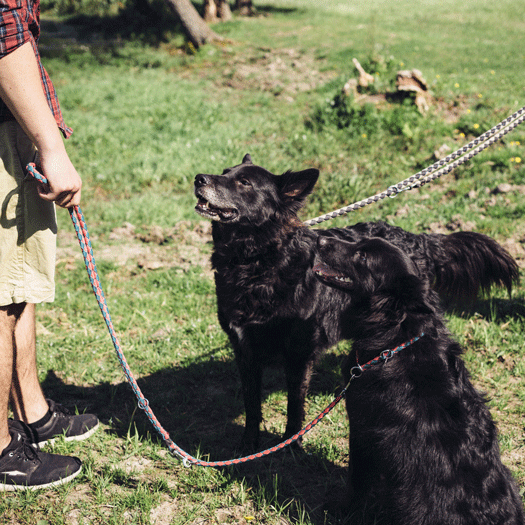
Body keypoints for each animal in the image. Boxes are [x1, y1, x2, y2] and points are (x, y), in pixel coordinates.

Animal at [193, 154, 520, 448]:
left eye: (244, 182)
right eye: (225, 171)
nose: (199, 179)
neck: (256, 261)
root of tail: (419, 239)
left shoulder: (299, 352)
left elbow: (294, 406)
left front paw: (290, 446)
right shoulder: (244, 349)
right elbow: (252, 405)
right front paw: (248, 444)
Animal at [314, 236, 520, 524]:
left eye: (363, 256)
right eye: (359, 244)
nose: (320, 239)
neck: (396, 338)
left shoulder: (360, 425)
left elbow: (356, 478)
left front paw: (341, 509)